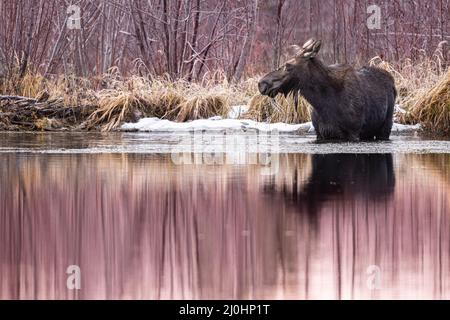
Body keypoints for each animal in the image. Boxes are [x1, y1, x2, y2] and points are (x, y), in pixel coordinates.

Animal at [258, 39, 396, 141]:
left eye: (289, 66)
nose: (261, 84)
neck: (323, 103)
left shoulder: (354, 132)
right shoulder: (320, 133)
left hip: (385, 127)